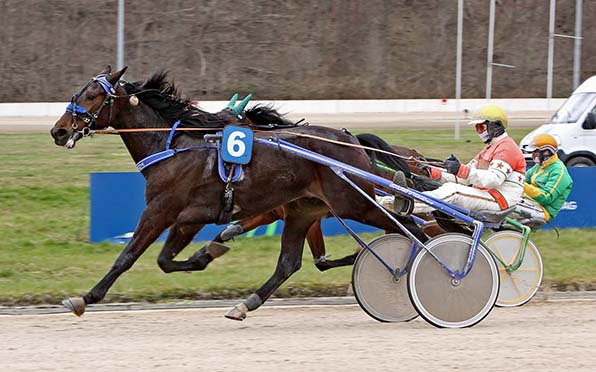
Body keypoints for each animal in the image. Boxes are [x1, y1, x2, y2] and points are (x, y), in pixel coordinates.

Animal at [47, 67, 428, 320]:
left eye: (92, 96)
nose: (58, 130)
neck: (171, 147)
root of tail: (350, 139)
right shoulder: (187, 218)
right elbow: (166, 261)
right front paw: (208, 253)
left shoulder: (160, 211)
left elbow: (127, 257)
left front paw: (86, 297)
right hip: (305, 209)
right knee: (289, 263)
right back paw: (246, 304)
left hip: (355, 203)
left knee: (414, 230)